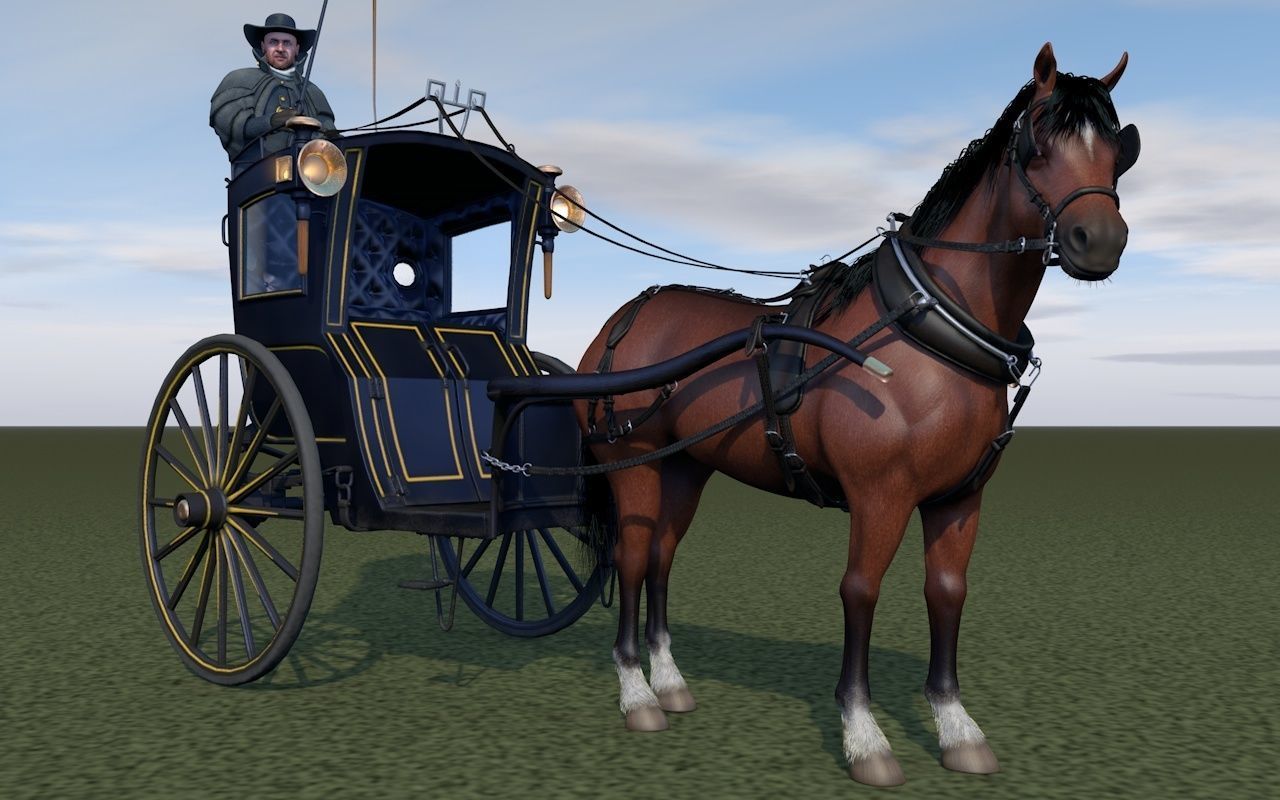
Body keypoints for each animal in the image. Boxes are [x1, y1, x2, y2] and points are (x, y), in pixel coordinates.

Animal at [575, 43, 1138, 786]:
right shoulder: (881, 493)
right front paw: (864, 736)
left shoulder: (959, 498)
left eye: (1118, 150)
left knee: (663, 556)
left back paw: (669, 682)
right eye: (1037, 145)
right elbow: (861, 591)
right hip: (632, 466)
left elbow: (947, 592)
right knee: (635, 558)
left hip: (687, 468)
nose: (1098, 241)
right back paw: (636, 693)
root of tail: (624, 317)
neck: (926, 330)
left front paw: (956, 726)